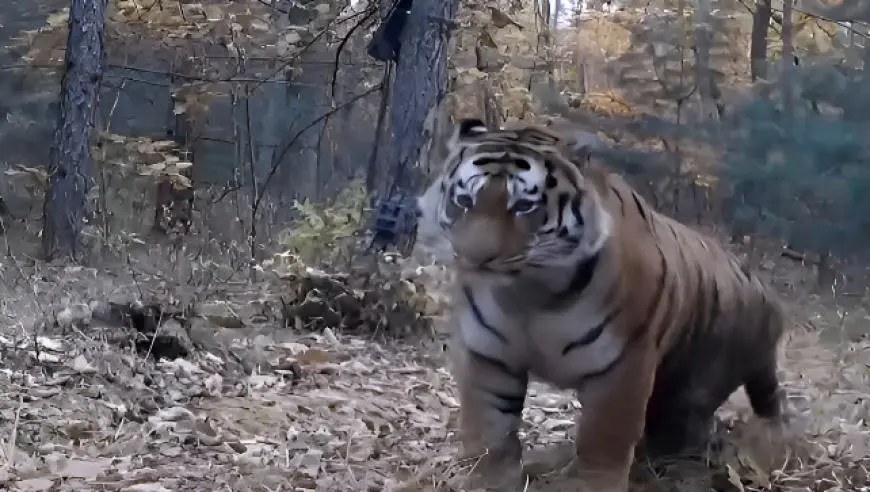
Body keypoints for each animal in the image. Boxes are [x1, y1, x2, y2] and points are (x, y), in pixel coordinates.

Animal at [414, 118, 789, 491]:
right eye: (464, 200)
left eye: (524, 206)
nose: (475, 258)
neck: (530, 294)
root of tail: (767, 297)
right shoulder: (487, 353)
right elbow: (490, 426)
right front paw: (490, 479)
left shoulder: (624, 361)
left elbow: (604, 435)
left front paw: (590, 483)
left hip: (696, 380)